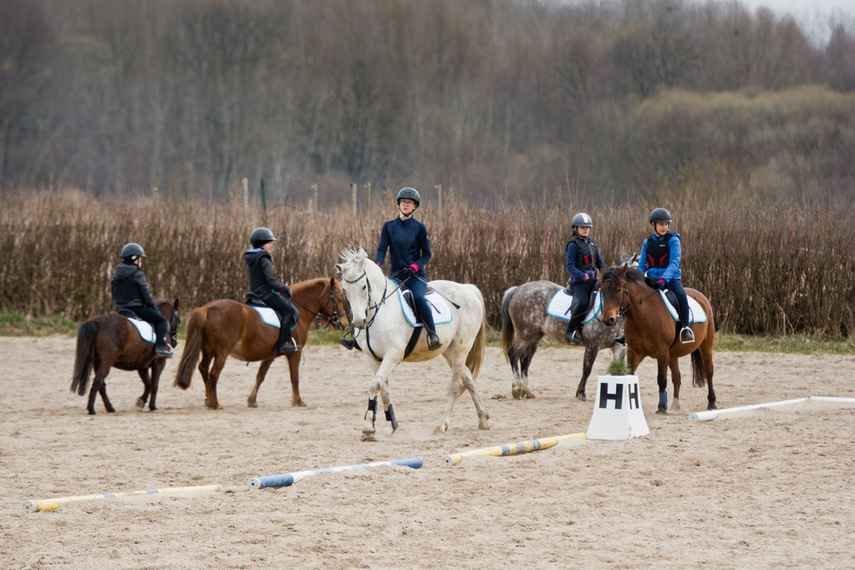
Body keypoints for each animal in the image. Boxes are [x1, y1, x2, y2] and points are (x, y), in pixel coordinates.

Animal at [172, 276, 346, 408]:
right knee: (213, 373)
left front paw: (252, 401)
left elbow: (260, 376)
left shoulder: (269, 355)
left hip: (208, 351)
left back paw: (208, 400)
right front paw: (298, 401)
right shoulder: (294, 354)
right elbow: (294, 377)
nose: (344, 323)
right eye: (339, 299)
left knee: (203, 369)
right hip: (221, 353)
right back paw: (215, 403)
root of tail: (206, 308)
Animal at [338, 245, 492, 440]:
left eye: (364, 286)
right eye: (344, 290)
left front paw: (368, 427)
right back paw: (482, 419)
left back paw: (442, 425)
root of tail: (467, 289)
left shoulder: (393, 355)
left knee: (455, 386)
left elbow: (374, 385)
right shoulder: (372, 358)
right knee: (469, 380)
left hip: (460, 349)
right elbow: (383, 390)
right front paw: (390, 425)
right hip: (449, 352)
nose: (359, 322)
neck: (378, 312)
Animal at [600, 264, 720, 410]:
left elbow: (661, 379)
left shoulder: (662, 351)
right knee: (677, 377)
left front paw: (661, 407)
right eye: (602, 290)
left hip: (705, 346)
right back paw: (675, 405)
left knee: (709, 372)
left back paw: (711, 403)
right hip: (673, 354)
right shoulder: (634, 352)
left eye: (618, 290)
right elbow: (630, 375)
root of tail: (701, 296)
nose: (608, 319)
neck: (643, 315)